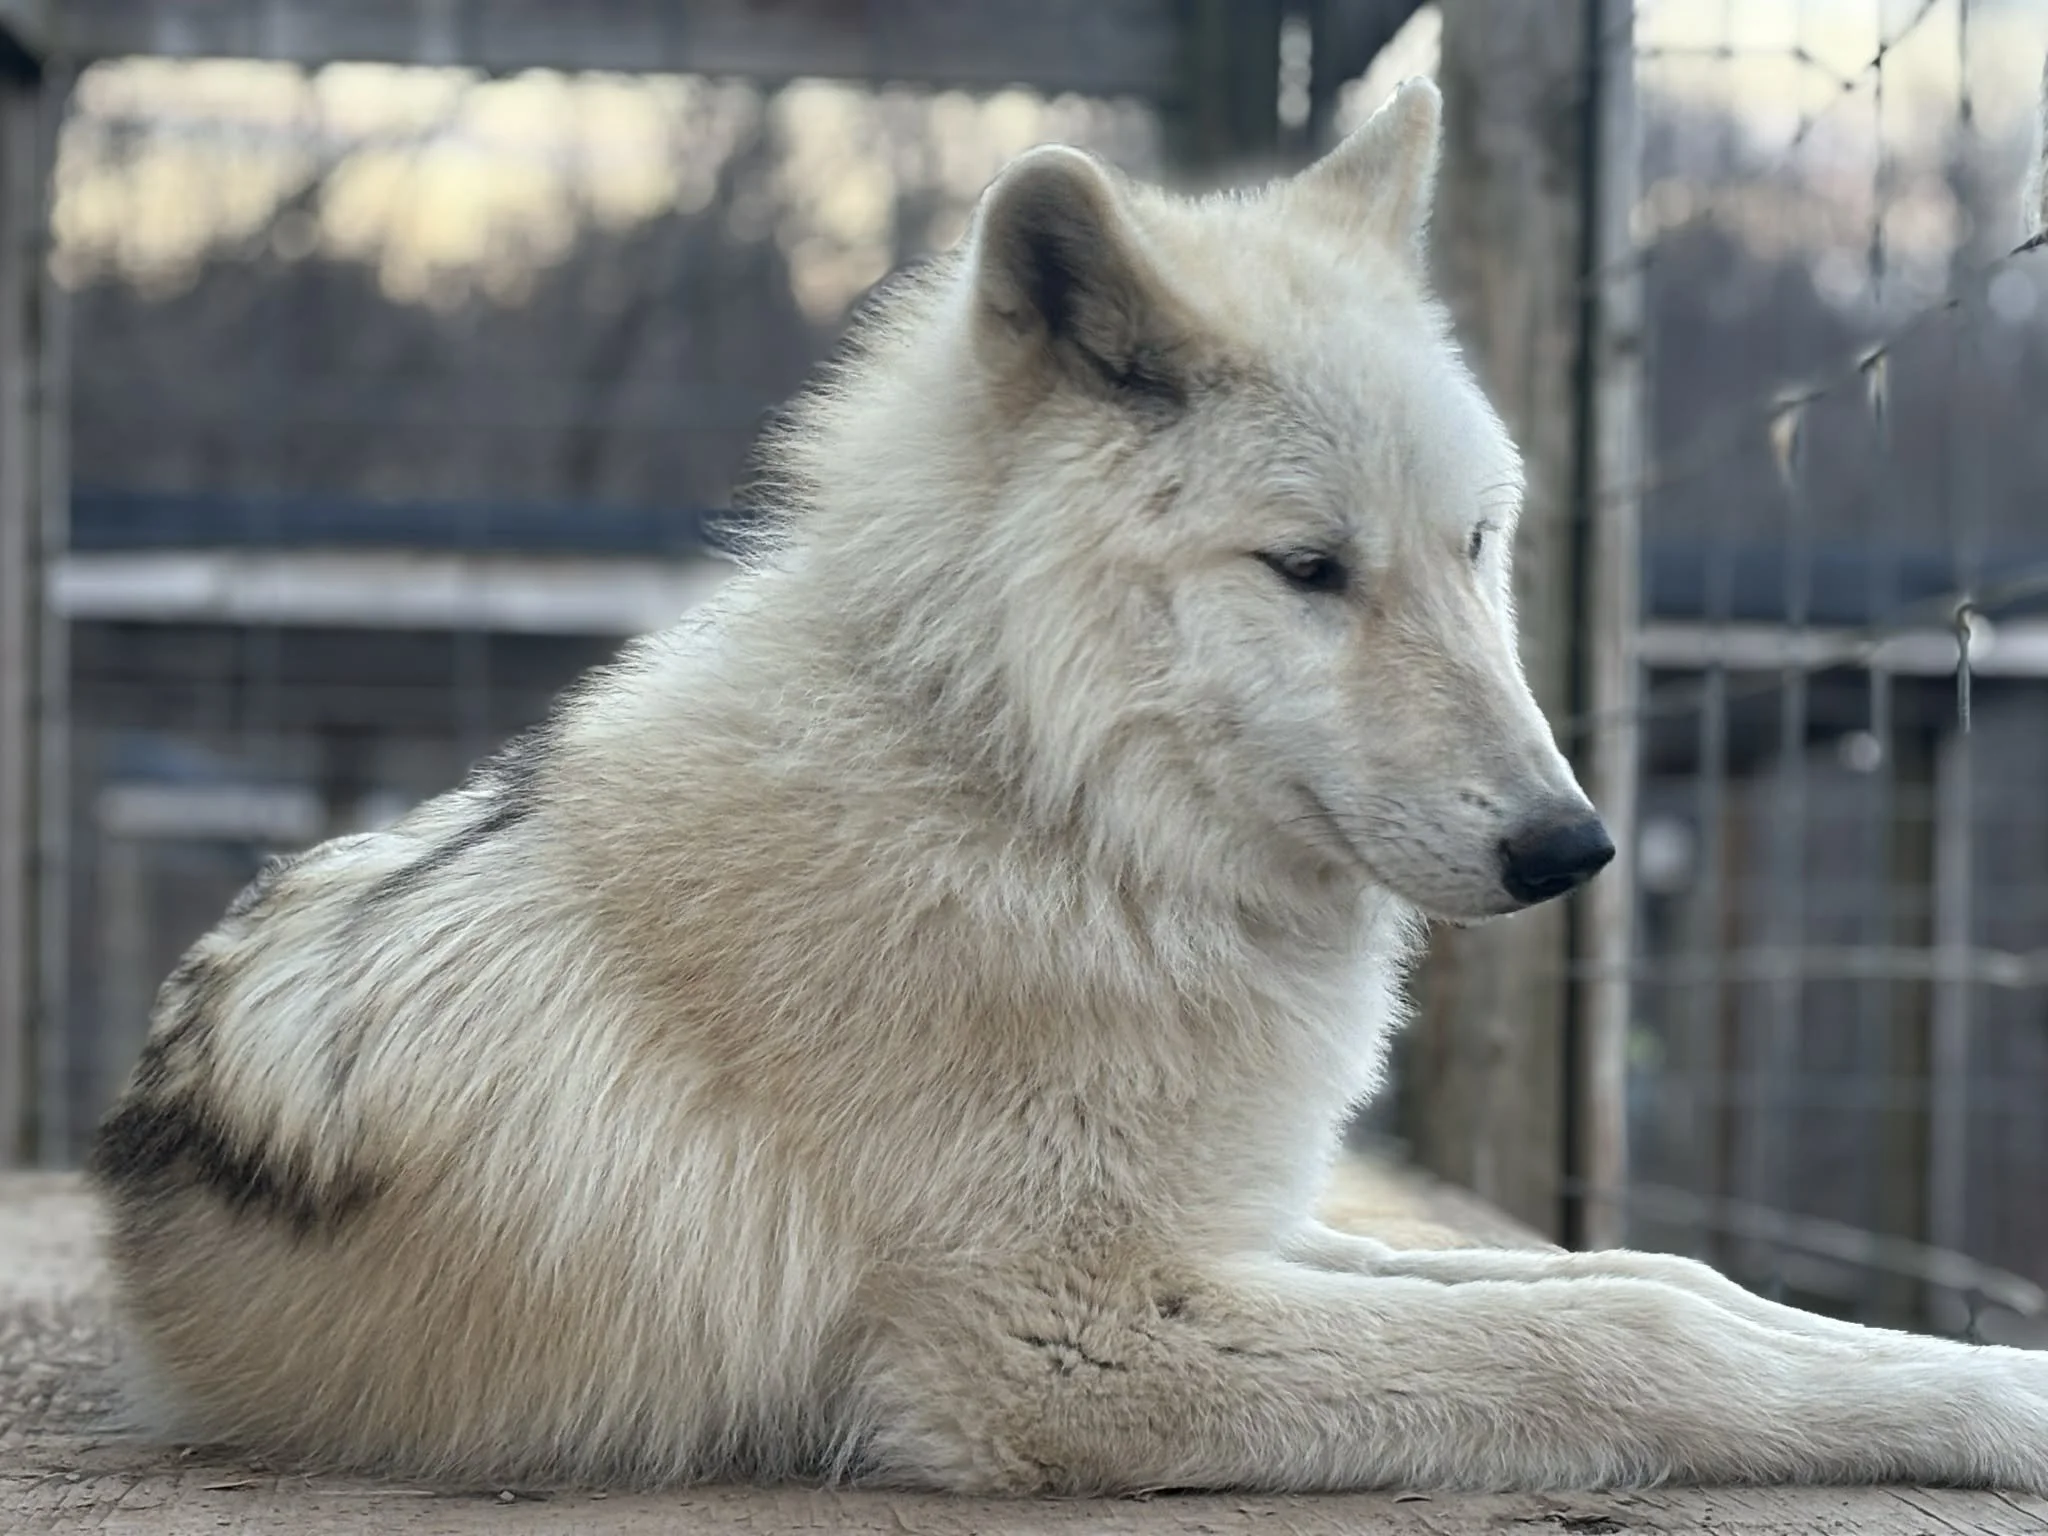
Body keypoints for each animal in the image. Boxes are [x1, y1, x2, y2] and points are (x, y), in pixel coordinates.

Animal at [90, 81, 2048, 1495]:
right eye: (1309, 570)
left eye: (1475, 543)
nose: (1572, 848)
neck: (1041, 813)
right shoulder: (1071, 1337)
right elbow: (1629, 1337)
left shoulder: (1230, 1230)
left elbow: (1658, 1279)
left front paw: (1986, 1376)